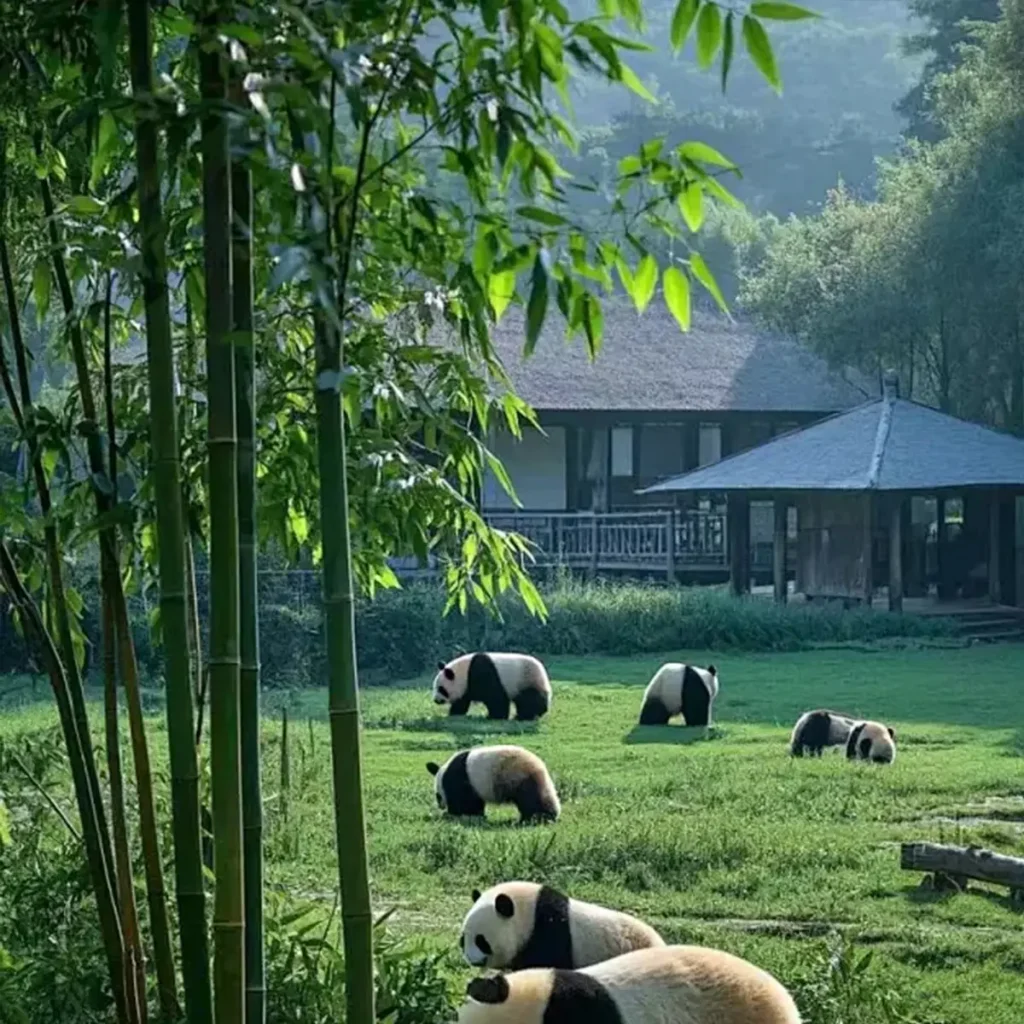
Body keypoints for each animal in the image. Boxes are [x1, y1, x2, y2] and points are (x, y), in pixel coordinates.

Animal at [426, 745, 560, 823]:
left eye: (438, 796)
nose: (440, 806)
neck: (444, 773)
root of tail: (540, 766)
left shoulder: (460, 780)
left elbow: (464, 802)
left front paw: (451, 814)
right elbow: (475, 802)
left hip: (519, 778)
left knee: (532, 799)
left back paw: (541, 817)